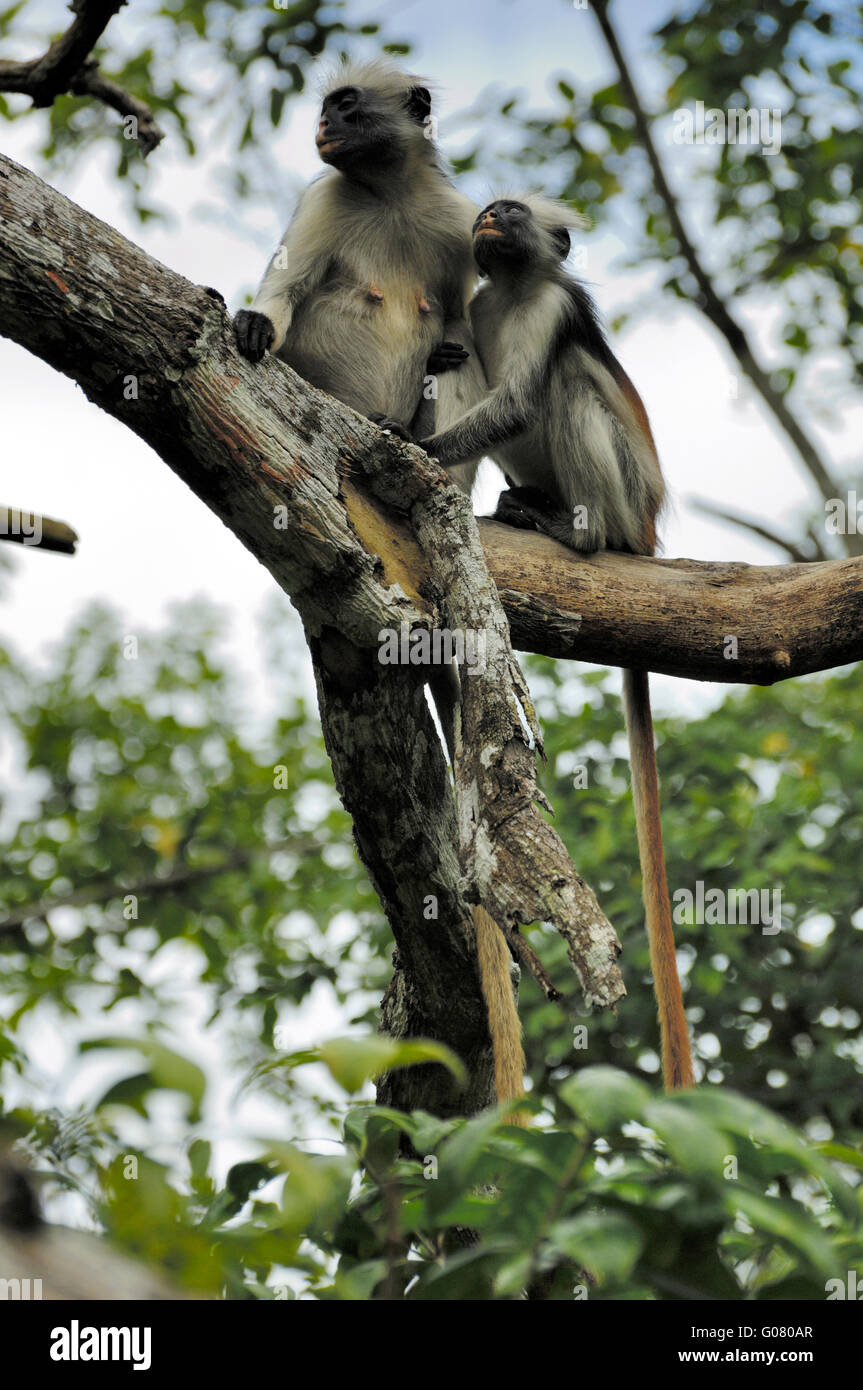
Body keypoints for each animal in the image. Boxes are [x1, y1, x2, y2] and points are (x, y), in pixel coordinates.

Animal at [233, 65, 525, 1123]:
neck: (386, 191)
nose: (322, 124)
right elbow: (284, 291)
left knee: (449, 367)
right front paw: (251, 321)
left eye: (349, 106)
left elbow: (462, 323)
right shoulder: (325, 201)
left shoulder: (447, 218)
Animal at [419, 193, 697, 1095]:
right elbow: (476, 376)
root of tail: (643, 534)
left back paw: (576, 532)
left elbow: (517, 397)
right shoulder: (478, 307)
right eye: (486, 210)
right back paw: (522, 505)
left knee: (566, 381)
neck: (510, 291)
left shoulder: (550, 307)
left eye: (509, 213)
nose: (487, 216)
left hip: (625, 492)